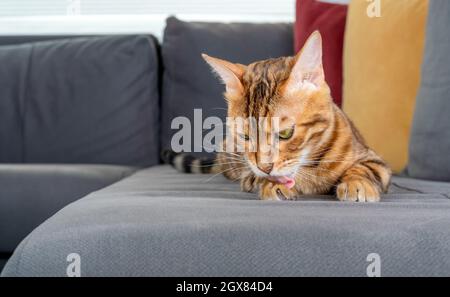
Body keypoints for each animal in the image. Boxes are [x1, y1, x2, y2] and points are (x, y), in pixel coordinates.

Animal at [163, 31, 392, 201]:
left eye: (285, 134)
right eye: (246, 137)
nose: (265, 167)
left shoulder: (374, 159)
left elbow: (365, 168)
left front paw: (358, 183)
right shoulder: (251, 174)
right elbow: (257, 178)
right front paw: (272, 184)